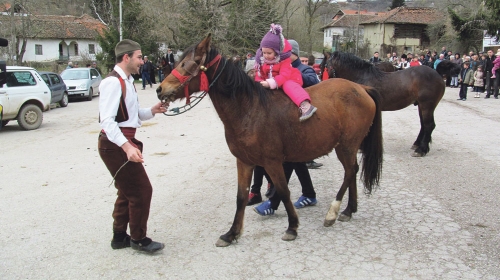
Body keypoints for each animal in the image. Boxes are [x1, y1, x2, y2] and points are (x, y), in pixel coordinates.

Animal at [156, 35, 382, 247]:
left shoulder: (272, 162)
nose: (160, 89)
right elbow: (241, 197)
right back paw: (348, 210)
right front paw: (232, 233)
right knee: (352, 171)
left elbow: (283, 191)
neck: (249, 110)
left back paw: (333, 212)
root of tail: (361, 88)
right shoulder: (244, 161)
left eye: (189, 64)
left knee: (350, 171)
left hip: (346, 146)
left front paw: (292, 227)